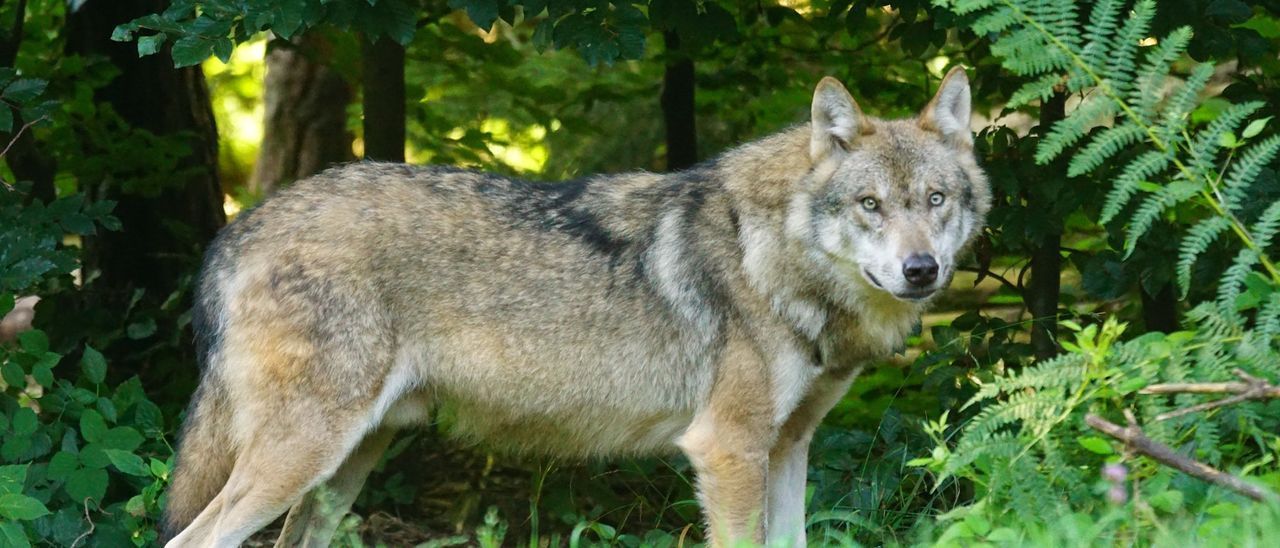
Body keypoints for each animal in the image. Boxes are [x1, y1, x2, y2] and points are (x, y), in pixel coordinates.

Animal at [157, 66, 977, 545]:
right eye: (870, 205)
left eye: (936, 200)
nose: (921, 270)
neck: (772, 255)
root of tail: (240, 226)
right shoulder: (727, 450)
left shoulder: (788, 447)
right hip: (303, 456)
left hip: (346, 464)